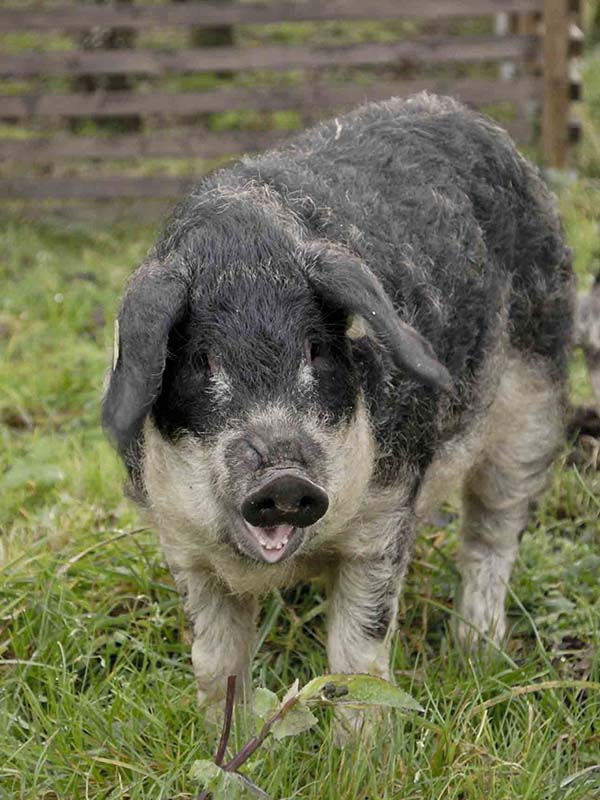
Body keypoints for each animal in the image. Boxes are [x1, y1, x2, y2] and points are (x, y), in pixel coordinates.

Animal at [103, 94, 576, 712]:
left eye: (317, 350)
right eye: (201, 361)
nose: (283, 477)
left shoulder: (385, 517)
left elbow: (358, 663)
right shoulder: (182, 543)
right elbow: (215, 663)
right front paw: (225, 738)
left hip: (535, 405)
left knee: (493, 534)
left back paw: (478, 655)